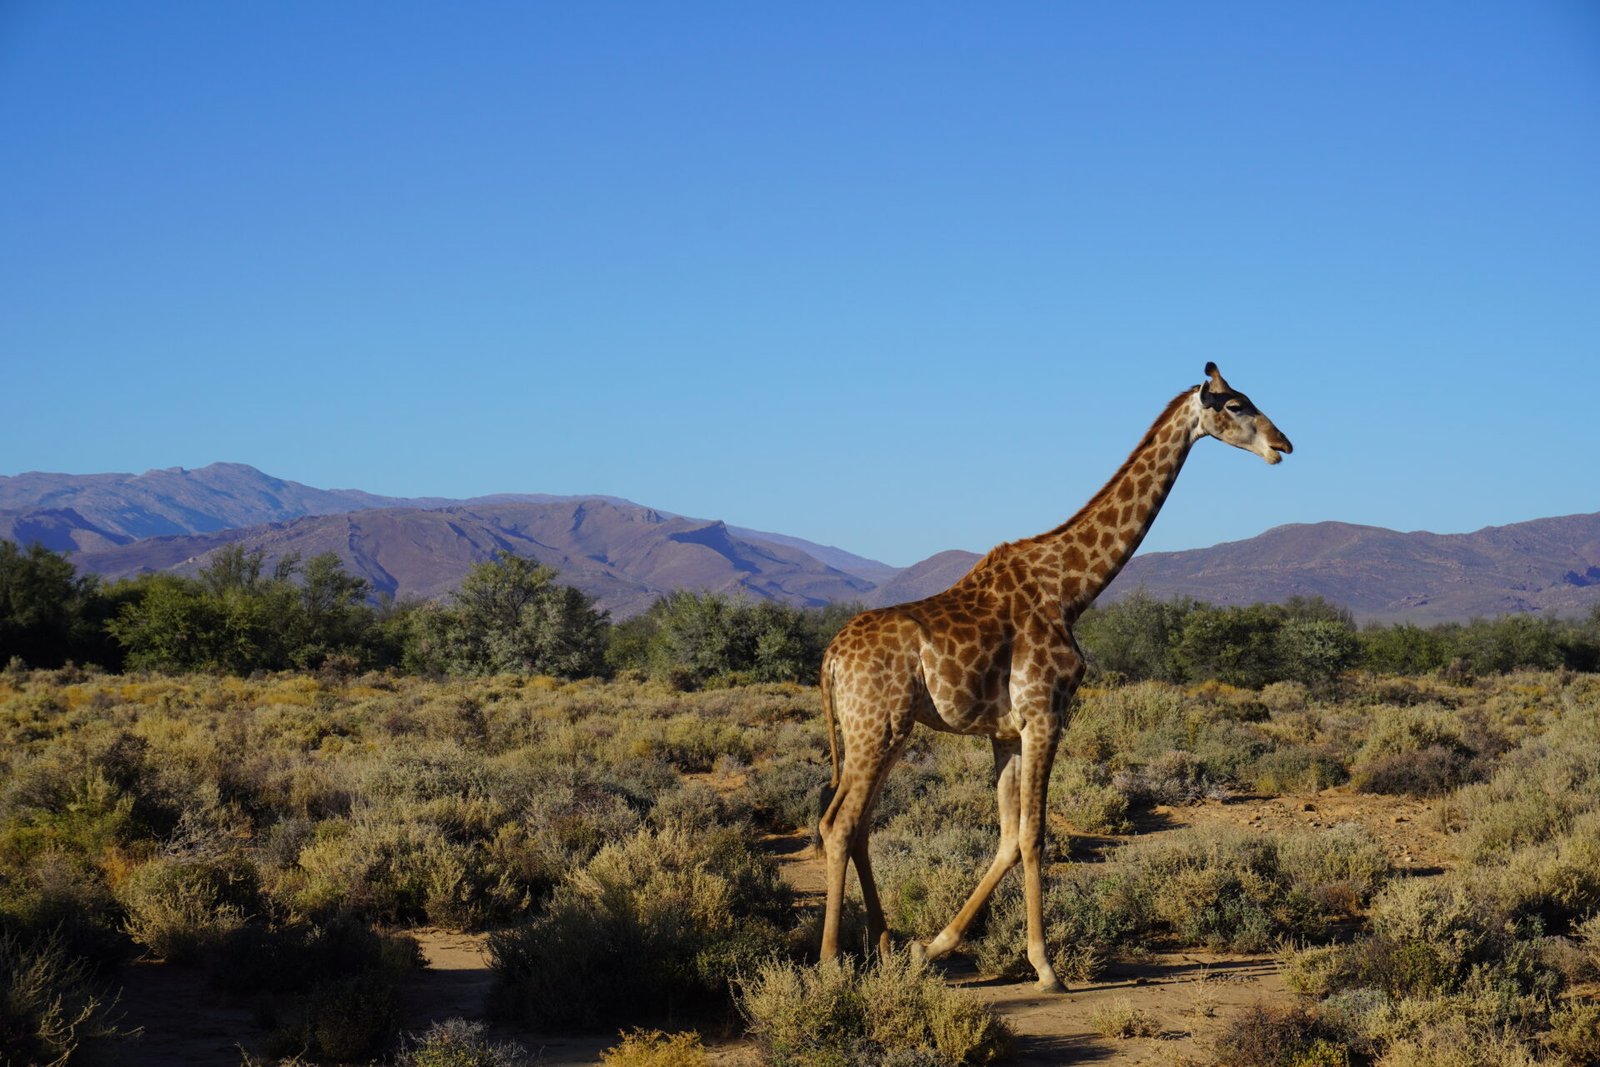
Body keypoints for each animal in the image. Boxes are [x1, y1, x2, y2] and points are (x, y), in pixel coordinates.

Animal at [817, 362, 1292, 991]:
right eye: (1236, 404)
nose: (1283, 445)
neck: (1071, 589)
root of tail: (830, 657)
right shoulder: (1046, 715)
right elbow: (1034, 834)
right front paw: (1045, 967)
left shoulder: (1005, 732)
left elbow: (1007, 836)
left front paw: (934, 947)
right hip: (877, 727)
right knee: (840, 823)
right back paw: (830, 965)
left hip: (886, 730)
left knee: (856, 821)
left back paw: (889, 945)